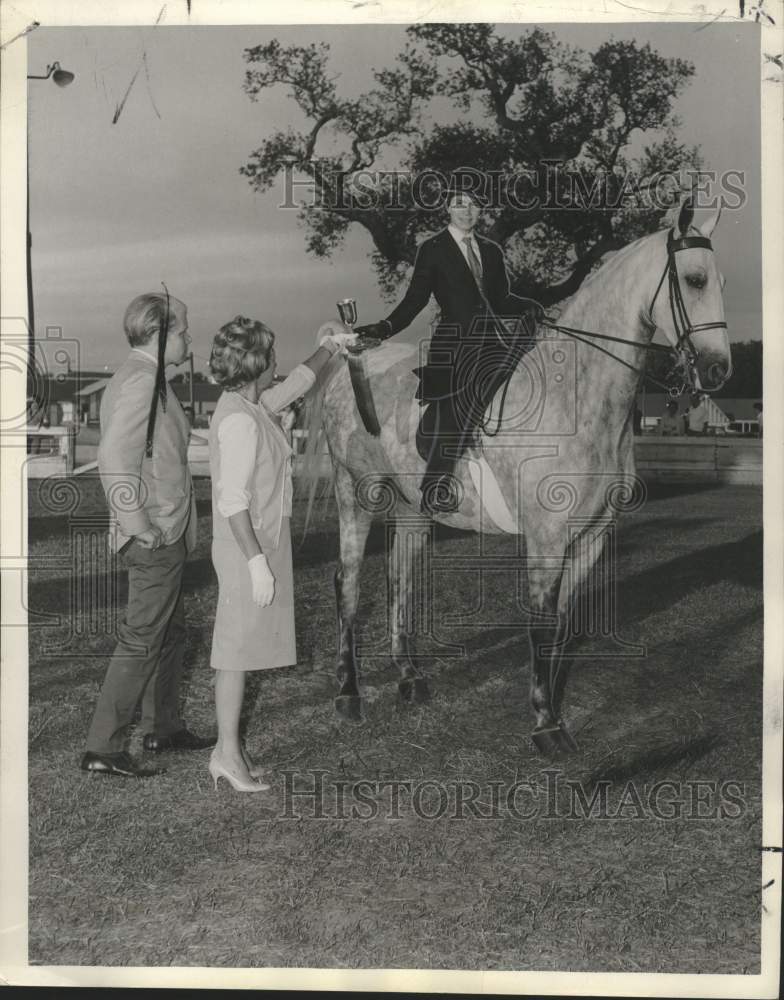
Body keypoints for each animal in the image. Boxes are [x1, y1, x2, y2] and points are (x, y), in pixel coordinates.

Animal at [304, 199, 728, 752]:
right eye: (695, 279)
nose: (718, 371)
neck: (577, 395)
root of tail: (351, 365)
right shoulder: (546, 539)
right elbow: (541, 625)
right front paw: (546, 724)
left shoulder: (591, 537)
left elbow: (563, 625)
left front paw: (555, 706)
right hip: (357, 494)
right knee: (348, 582)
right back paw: (349, 694)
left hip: (412, 507)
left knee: (400, 575)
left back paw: (410, 678)